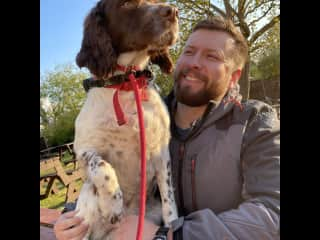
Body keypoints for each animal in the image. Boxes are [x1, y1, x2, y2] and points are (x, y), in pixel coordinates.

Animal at [74, 0, 180, 239]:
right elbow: (100, 165)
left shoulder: (161, 151)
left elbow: (169, 199)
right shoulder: (82, 149)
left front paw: (173, 223)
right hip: (86, 213)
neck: (126, 84)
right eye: (125, 4)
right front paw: (112, 204)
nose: (173, 11)